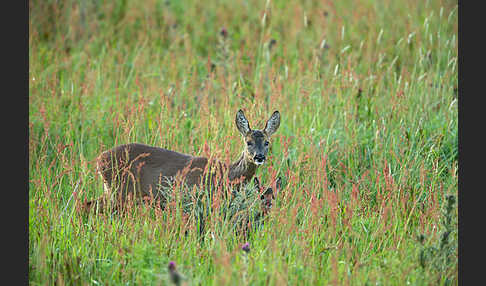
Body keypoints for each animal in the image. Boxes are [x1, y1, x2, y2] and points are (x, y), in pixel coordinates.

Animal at [85, 109, 280, 212]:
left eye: (267, 142)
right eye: (248, 142)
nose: (259, 157)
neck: (228, 175)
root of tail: (99, 159)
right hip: (120, 192)